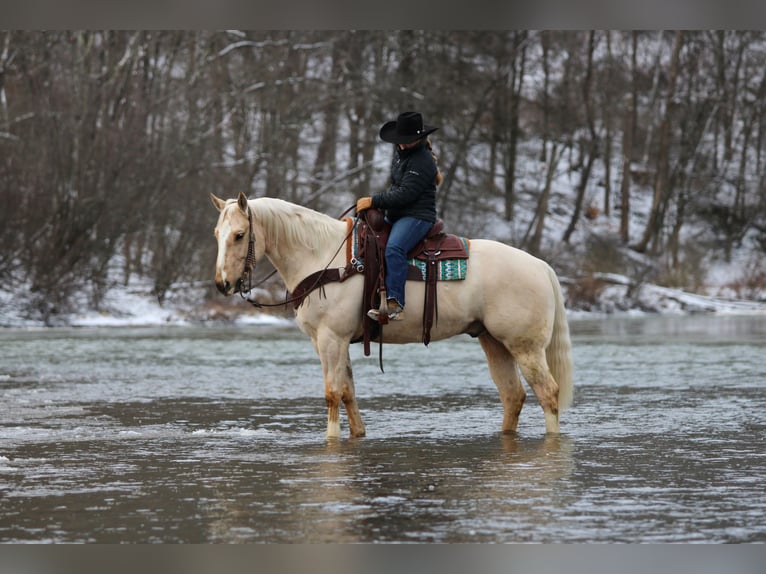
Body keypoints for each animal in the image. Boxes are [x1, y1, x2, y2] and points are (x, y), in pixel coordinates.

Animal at [210, 192, 573, 439]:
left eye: (240, 235)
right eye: (217, 234)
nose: (222, 284)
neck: (323, 257)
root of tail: (541, 266)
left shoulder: (331, 339)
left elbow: (332, 393)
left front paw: (330, 438)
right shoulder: (332, 342)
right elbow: (348, 391)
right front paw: (357, 434)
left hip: (525, 347)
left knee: (548, 393)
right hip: (493, 341)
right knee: (513, 396)